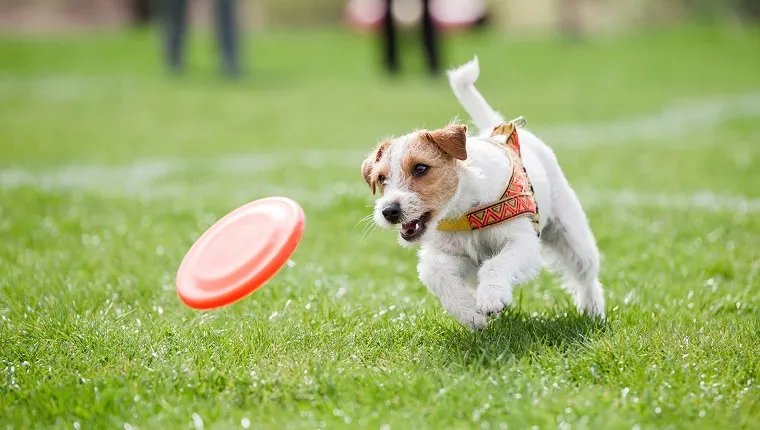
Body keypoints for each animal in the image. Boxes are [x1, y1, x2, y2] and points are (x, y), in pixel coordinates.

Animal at [362, 55, 604, 328]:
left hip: (573, 235)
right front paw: (470, 313)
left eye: (421, 168)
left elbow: (495, 264)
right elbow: (435, 273)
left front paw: (491, 298)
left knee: (586, 275)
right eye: (381, 178)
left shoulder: (523, 242)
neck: (464, 210)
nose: (389, 211)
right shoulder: (452, 255)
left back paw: (593, 311)